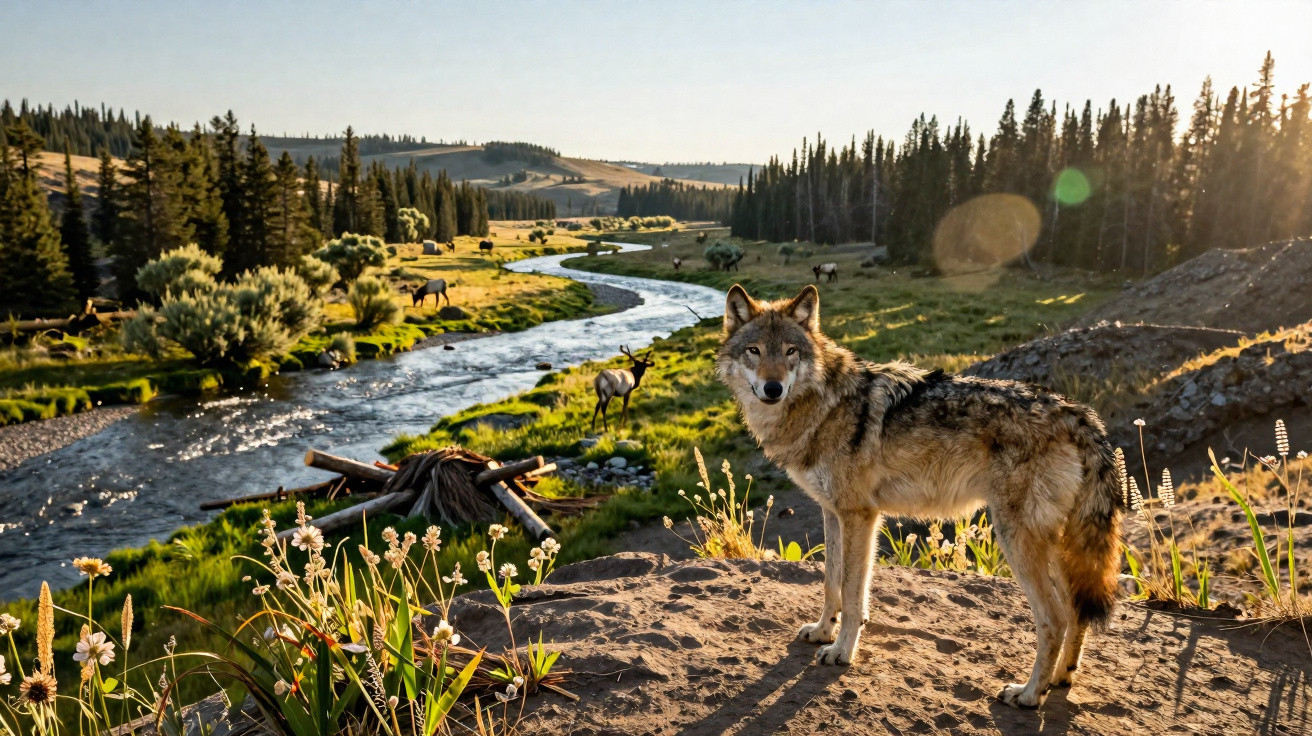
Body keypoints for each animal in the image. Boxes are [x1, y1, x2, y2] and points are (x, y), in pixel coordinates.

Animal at [716, 284, 1123, 708]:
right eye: (755, 350)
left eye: (790, 352)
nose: (772, 388)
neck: (824, 404)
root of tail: (1078, 413)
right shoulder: (832, 512)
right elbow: (831, 583)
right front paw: (822, 631)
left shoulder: (860, 515)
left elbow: (852, 591)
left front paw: (842, 651)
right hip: (1056, 545)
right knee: (1076, 611)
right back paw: (1061, 678)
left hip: (1016, 540)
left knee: (1054, 619)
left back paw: (1028, 694)